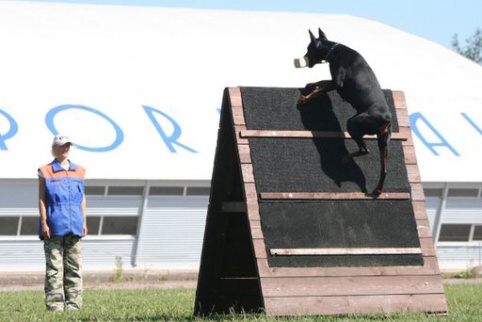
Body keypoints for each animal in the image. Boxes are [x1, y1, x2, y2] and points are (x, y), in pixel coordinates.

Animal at [294, 28, 392, 196]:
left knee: (365, 149)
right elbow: (322, 82)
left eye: (308, 48)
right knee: (384, 169)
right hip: (383, 142)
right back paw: (377, 191)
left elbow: (320, 90)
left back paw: (346, 157)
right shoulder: (334, 82)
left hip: (353, 123)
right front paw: (312, 84)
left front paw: (305, 98)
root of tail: (385, 119)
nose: (304, 57)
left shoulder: (338, 83)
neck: (334, 50)